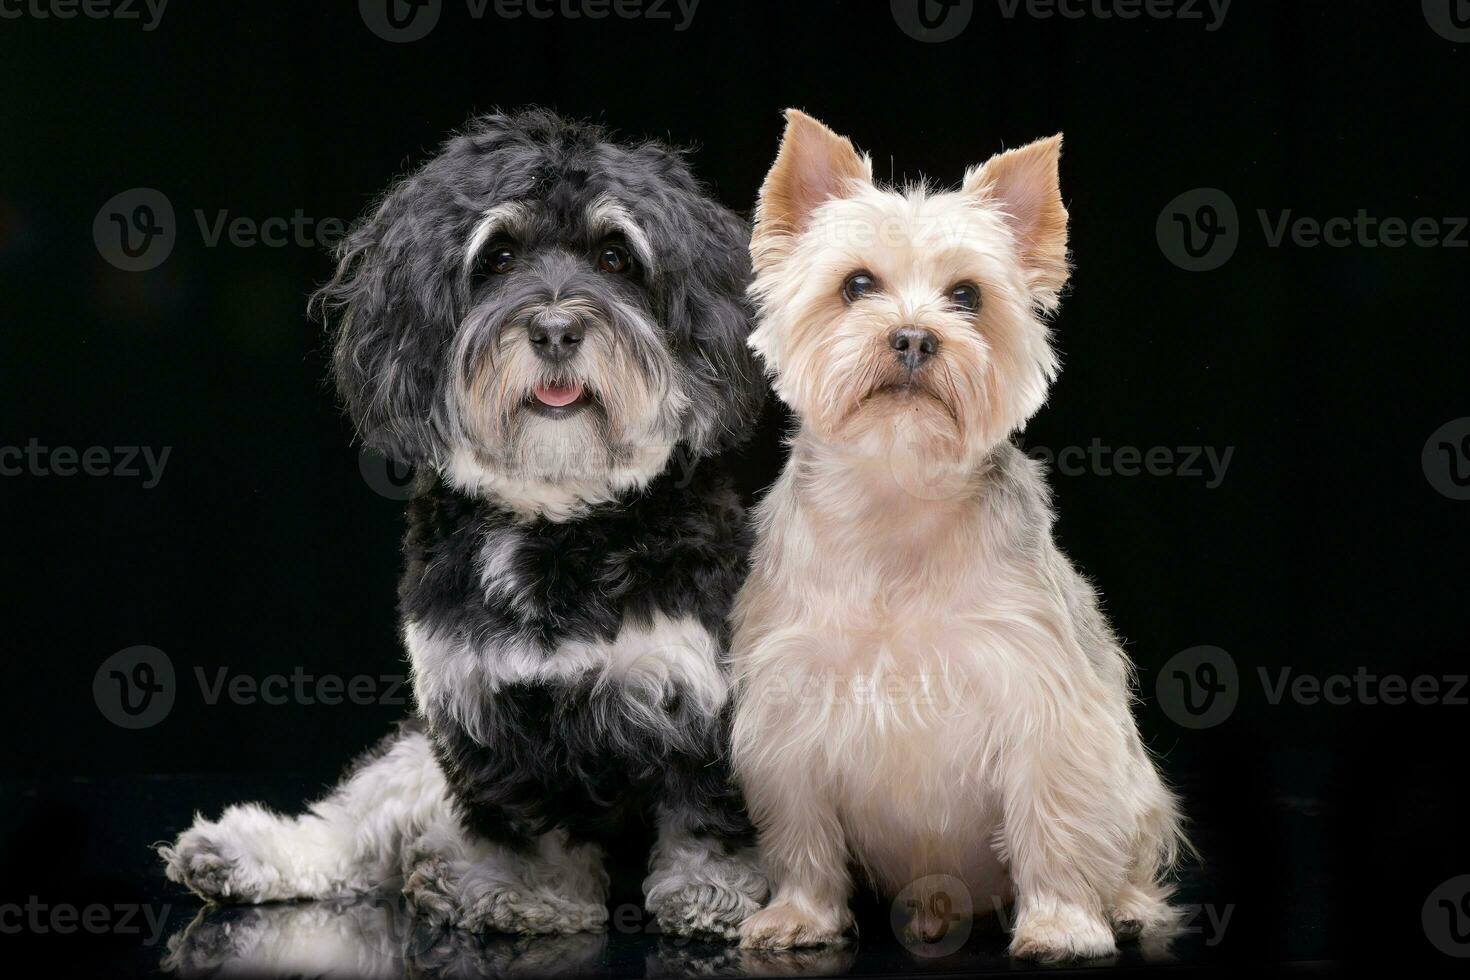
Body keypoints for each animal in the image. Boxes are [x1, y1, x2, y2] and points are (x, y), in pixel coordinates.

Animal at [163, 109, 770, 940]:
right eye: (498, 257)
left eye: (616, 256)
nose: (555, 329)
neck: (558, 527)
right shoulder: (480, 708)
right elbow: (524, 823)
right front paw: (528, 893)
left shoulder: (700, 693)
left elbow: (706, 813)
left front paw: (714, 891)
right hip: (414, 758)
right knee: (364, 821)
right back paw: (255, 853)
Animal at [729, 110, 1187, 963]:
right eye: (857, 285)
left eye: (967, 296)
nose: (913, 338)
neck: (898, 492)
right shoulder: (790, 717)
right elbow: (801, 833)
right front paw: (799, 915)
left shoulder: (1042, 704)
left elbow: (1053, 821)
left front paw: (1063, 923)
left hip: (1135, 788)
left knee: (1130, 847)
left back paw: (1128, 906)